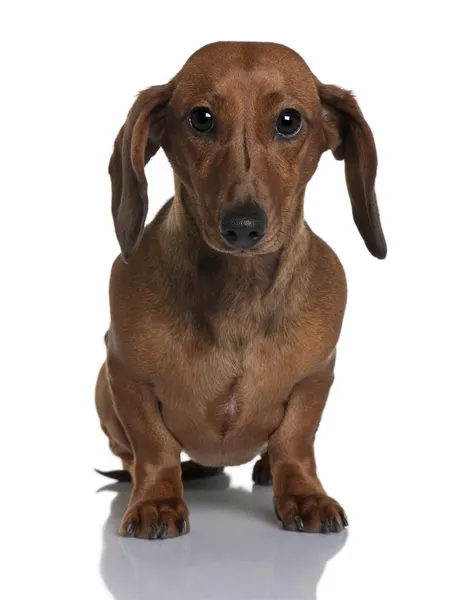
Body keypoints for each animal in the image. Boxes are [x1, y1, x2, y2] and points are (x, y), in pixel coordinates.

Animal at [94, 41, 384, 540]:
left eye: (288, 120)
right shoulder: (123, 373)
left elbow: (295, 439)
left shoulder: (315, 377)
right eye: (201, 118)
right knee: (130, 454)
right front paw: (156, 502)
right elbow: (153, 445)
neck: (239, 293)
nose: (243, 226)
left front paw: (303, 494)